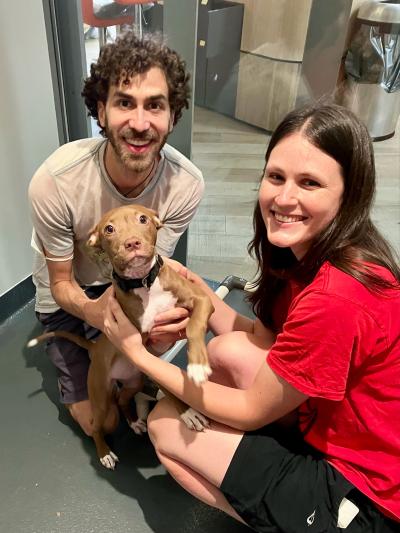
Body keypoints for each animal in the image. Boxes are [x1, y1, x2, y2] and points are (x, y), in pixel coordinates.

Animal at [27, 206, 216, 468]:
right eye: (109, 229)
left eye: (143, 219)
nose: (132, 243)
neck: (145, 284)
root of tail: (95, 347)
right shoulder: (143, 346)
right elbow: (166, 384)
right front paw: (187, 412)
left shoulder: (201, 300)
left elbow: (193, 326)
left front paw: (197, 366)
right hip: (101, 399)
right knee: (98, 424)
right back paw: (104, 452)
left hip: (132, 381)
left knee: (123, 399)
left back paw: (134, 420)